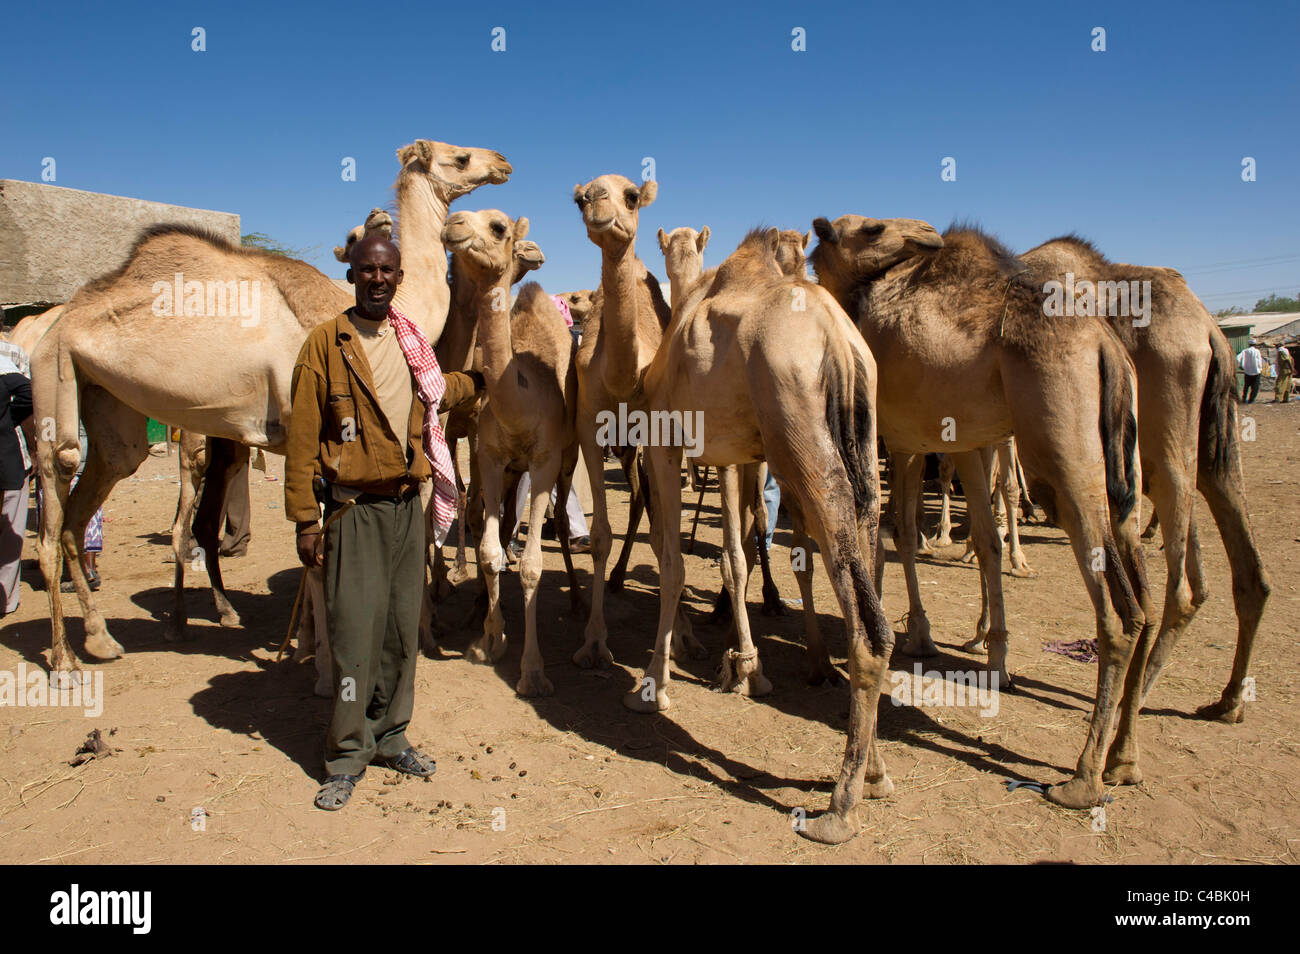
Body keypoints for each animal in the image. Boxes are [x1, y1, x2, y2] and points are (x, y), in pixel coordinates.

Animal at [29, 138, 506, 675]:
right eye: (460, 158)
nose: (502, 161)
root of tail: (55, 321)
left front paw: (308, 646)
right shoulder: (312, 434)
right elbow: (317, 554)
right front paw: (319, 658)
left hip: (109, 406)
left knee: (89, 504)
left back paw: (105, 638)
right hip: (55, 373)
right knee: (54, 504)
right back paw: (66, 658)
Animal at [444, 210, 582, 696]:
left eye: (499, 227)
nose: (453, 223)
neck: (520, 400)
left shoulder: (543, 463)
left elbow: (534, 567)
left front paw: (533, 672)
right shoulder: (490, 457)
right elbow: (488, 549)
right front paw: (489, 640)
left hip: (567, 457)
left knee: (561, 523)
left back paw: (581, 605)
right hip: (509, 472)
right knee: (501, 526)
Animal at [634, 231, 899, 852]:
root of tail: (838, 339)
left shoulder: (664, 441)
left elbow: (673, 563)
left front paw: (656, 686)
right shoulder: (735, 454)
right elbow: (735, 553)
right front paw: (737, 665)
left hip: (797, 428)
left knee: (867, 622)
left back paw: (839, 808)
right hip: (861, 440)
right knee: (867, 576)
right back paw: (875, 773)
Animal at [811, 213, 1159, 811]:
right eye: (873, 228)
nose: (926, 231)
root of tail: (1104, 344)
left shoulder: (892, 437)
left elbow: (892, 538)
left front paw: (917, 634)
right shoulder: (964, 442)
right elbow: (980, 542)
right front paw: (989, 655)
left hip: (1060, 455)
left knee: (1119, 613)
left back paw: (1082, 780)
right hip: (1120, 461)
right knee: (1143, 597)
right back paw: (1124, 761)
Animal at [1013, 237, 1268, 722]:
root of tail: (1211, 331)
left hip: (1161, 435)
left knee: (1181, 589)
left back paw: (1129, 705)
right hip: (1209, 446)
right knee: (1240, 572)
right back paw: (1224, 701)